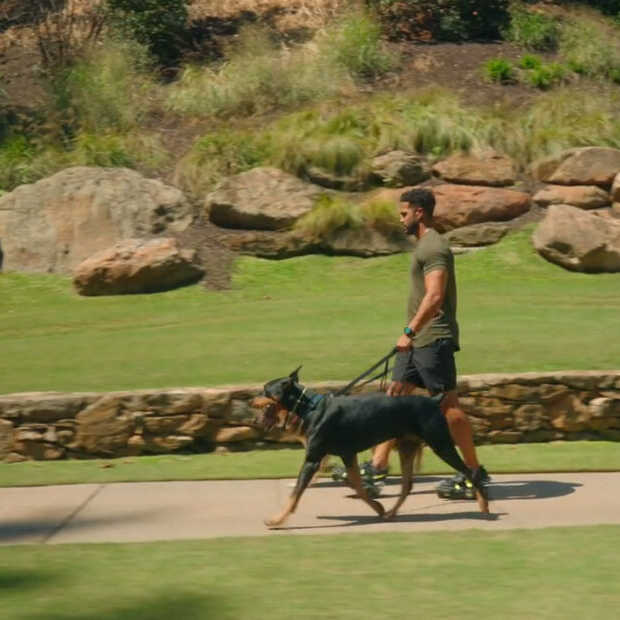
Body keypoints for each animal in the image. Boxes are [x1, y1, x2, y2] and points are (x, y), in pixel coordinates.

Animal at [252, 368, 490, 528]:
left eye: (265, 390)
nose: (250, 401)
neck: (310, 408)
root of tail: (433, 400)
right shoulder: (348, 454)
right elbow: (357, 486)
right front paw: (378, 507)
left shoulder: (313, 459)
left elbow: (295, 494)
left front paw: (276, 519)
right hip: (407, 446)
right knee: (407, 485)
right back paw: (391, 513)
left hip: (441, 444)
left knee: (470, 471)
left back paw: (484, 507)